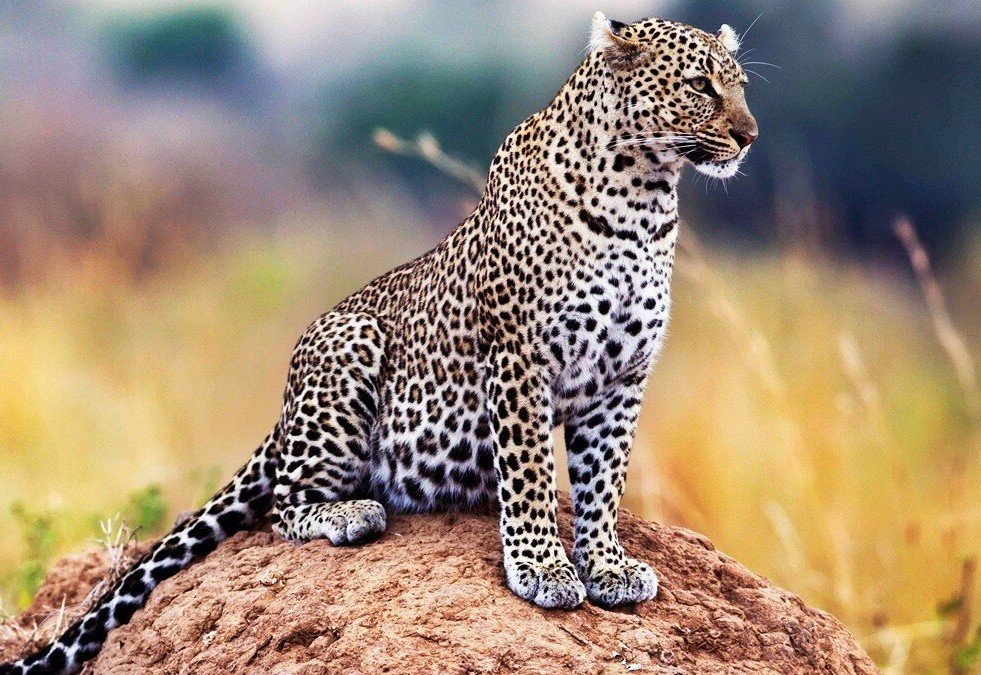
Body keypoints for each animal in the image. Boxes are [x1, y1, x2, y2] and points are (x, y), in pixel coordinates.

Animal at [2, 12, 756, 674]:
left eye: (741, 84)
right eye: (700, 85)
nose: (749, 135)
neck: (644, 199)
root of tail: (282, 411)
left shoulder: (624, 376)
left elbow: (603, 481)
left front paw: (605, 565)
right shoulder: (519, 359)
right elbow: (532, 476)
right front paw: (542, 568)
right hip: (349, 348)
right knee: (283, 505)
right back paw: (350, 514)